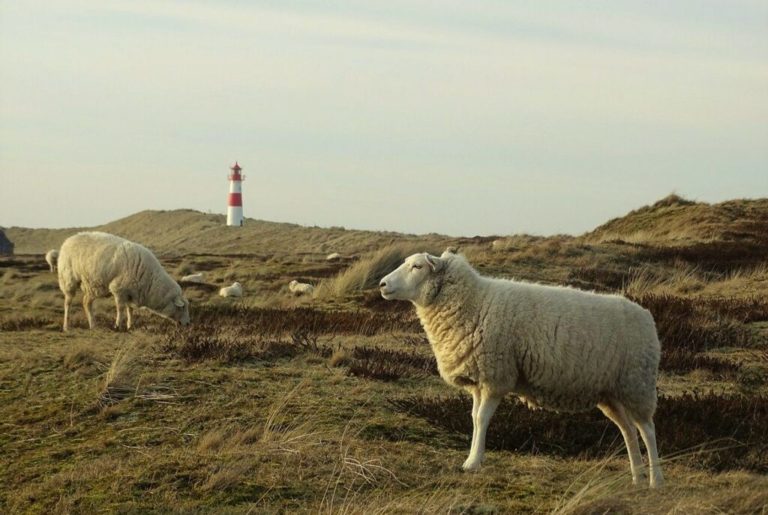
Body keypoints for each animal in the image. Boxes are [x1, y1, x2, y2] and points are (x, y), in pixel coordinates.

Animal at [58, 232, 190, 331]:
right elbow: (120, 309)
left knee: (86, 302)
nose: (188, 324)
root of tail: (68, 240)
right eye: (182, 308)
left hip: (93, 284)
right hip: (68, 279)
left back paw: (93, 325)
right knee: (68, 302)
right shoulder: (119, 289)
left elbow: (130, 310)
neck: (151, 281)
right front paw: (117, 326)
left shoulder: (130, 292)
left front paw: (130, 326)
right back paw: (66, 326)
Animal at [379, 251, 664, 488]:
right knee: (628, 430)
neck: (474, 303)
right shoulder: (480, 379)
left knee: (648, 430)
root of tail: (646, 315)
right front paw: (472, 457)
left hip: (637, 383)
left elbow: (481, 419)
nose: (382, 284)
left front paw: (473, 462)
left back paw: (655, 480)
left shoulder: (496, 377)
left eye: (417, 266)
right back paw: (637, 476)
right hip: (611, 392)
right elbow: (474, 418)